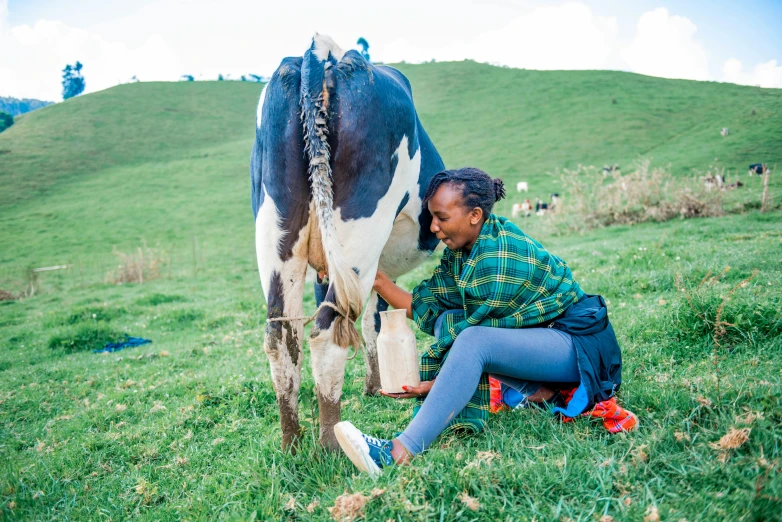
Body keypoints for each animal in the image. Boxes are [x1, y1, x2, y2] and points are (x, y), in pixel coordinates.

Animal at [253, 33, 448, 446]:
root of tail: (322, 52)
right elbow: (373, 322)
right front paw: (378, 386)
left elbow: (369, 319)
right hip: (360, 231)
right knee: (326, 333)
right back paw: (330, 443)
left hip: (275, 229)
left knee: (281, 333)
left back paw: (292, 444)